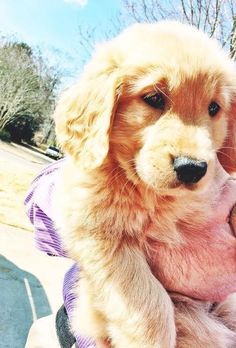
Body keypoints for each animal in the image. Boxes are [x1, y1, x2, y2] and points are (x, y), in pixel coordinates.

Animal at [52, 22, 236, 348]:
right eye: (154, 98)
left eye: (214, 108)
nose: (192, 168)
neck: (151, 195)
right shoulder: (98, 232)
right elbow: (148, 301)